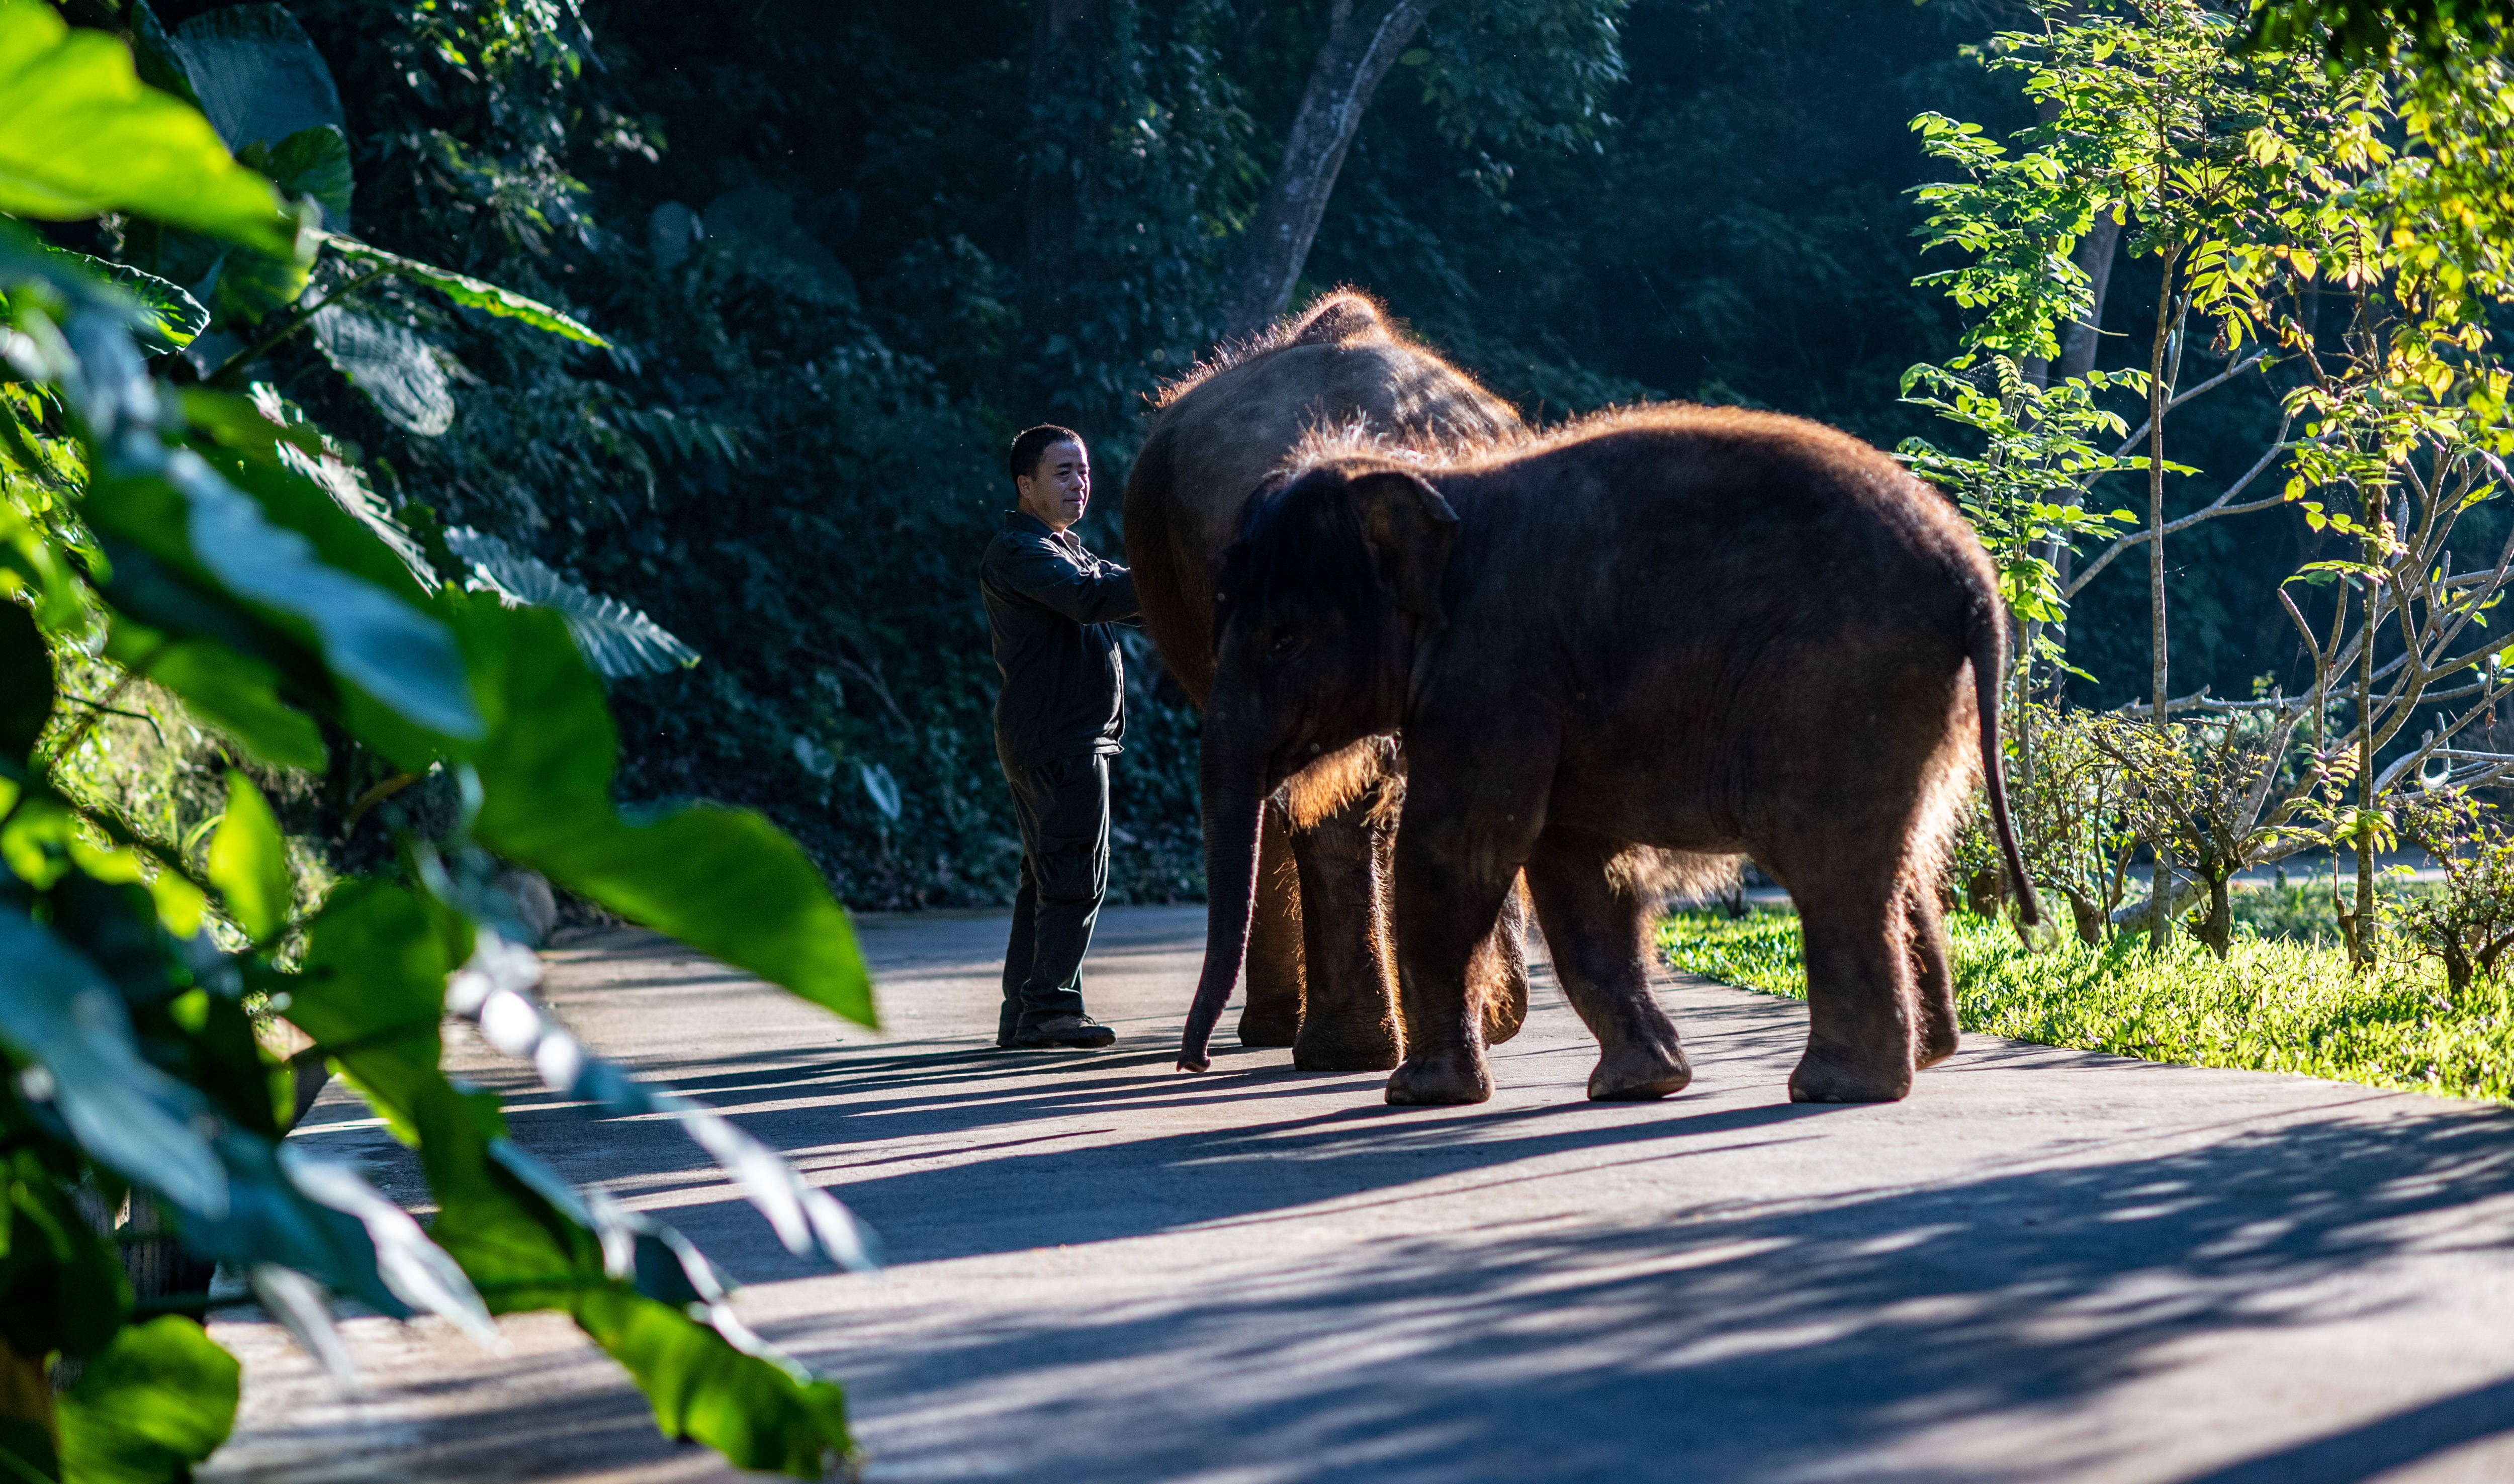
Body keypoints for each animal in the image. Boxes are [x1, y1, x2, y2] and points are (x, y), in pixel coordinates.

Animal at [1177, 405, 2041, 1106]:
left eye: (1284, 639)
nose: (1197, 1065)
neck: (1437, 484)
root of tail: (1976, 577)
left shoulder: (1493, 671)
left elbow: (1457, 851)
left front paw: (1419, 1095)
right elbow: (1574, 871)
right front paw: (1642, 1084)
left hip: (1842, 688)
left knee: (1829, 867)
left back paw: (1838, 1088)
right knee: (1896, 863)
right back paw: (1925, 1057)